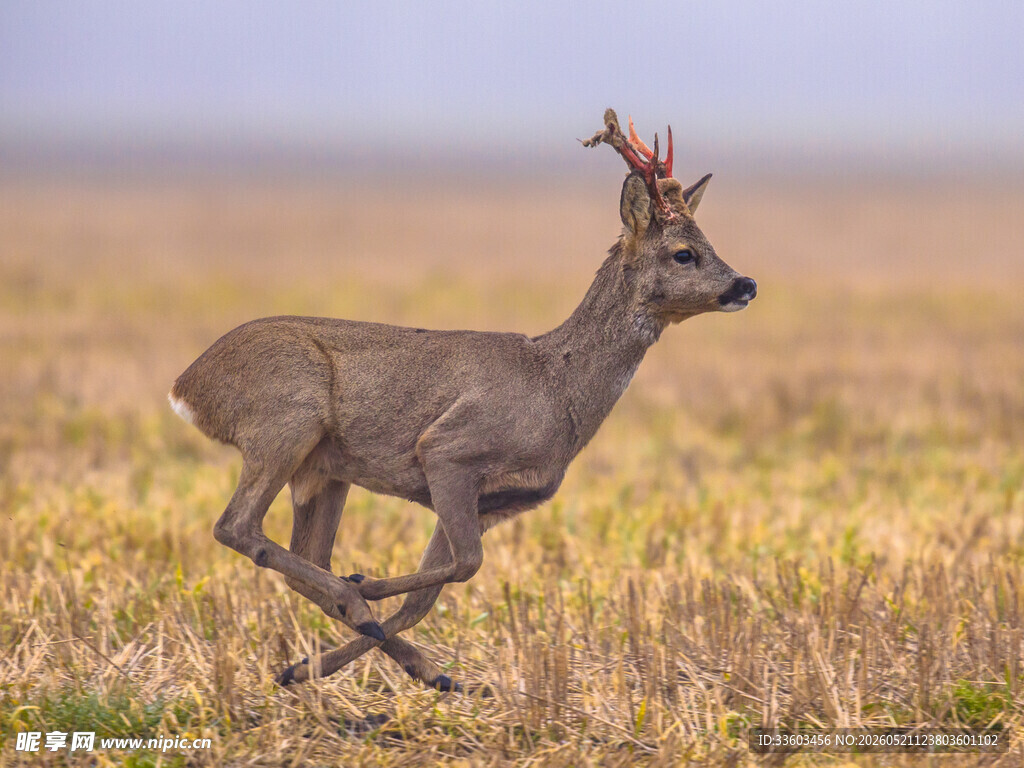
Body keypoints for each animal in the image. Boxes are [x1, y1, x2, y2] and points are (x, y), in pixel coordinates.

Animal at [168, 109, 757, 691]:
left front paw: (395, 663)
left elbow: (431, 594)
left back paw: (341, 650)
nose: (746, 284)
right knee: (236, 525)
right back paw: (353, 600)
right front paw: (368, 587)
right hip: (286, 418)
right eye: (684, 253)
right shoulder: (449, 449)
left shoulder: (493, 501)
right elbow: (466, 565)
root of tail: (187, 387)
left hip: (323, 470)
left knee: (300, 553)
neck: (556, 389)